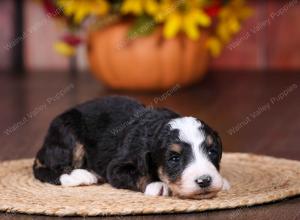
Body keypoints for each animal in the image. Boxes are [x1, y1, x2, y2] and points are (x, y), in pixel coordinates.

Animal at [33, 96, 230, 199]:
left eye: (212, 151)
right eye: (174, 158)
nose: (204, 180)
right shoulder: (116, 167)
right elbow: (137, 174)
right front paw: (156, 185)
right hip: (68, 133)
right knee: (49, 168)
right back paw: (82, 175)